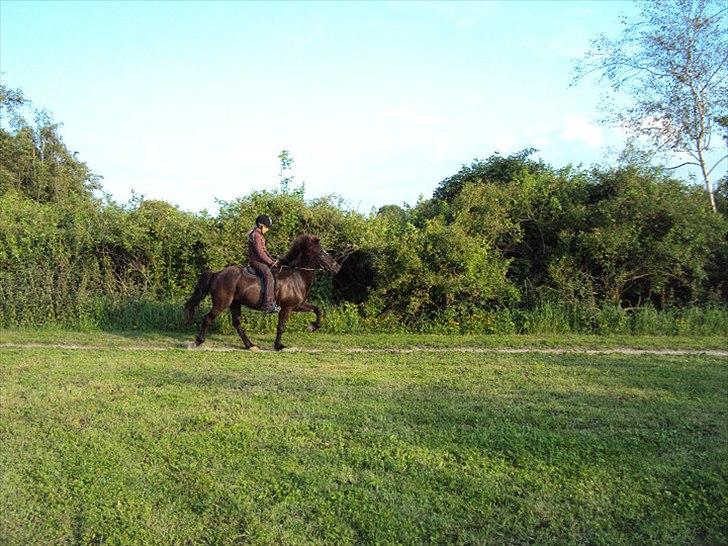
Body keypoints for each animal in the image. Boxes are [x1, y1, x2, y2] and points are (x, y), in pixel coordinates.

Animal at [182, 233, 342, 348]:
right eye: (321, 254)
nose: (337, 268)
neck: (296, 275)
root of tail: (217, 273)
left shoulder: (298, 305)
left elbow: (317, 309)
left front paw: (313, 326)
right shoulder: (287, 307)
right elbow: (281, 327)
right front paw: (278, 346)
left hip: (235, 303)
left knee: (237, 323)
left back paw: (250, 345)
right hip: (221, 303)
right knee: (208, 318)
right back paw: (197, 341)